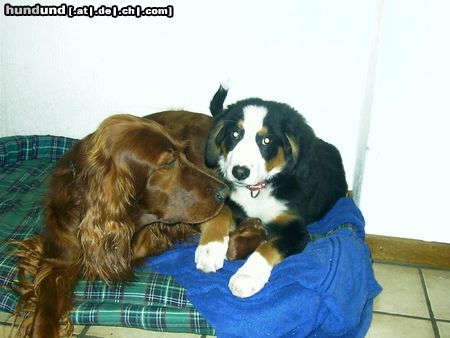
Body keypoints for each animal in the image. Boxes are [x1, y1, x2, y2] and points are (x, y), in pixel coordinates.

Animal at [197, 86, 348, 298]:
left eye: (266, 140)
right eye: (235, 134)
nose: (240, 172)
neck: (257, 190)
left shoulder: (296, 231)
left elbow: (267, 248)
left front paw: (246, 277)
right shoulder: (233, 205)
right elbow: (219, 214)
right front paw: (209, 250)